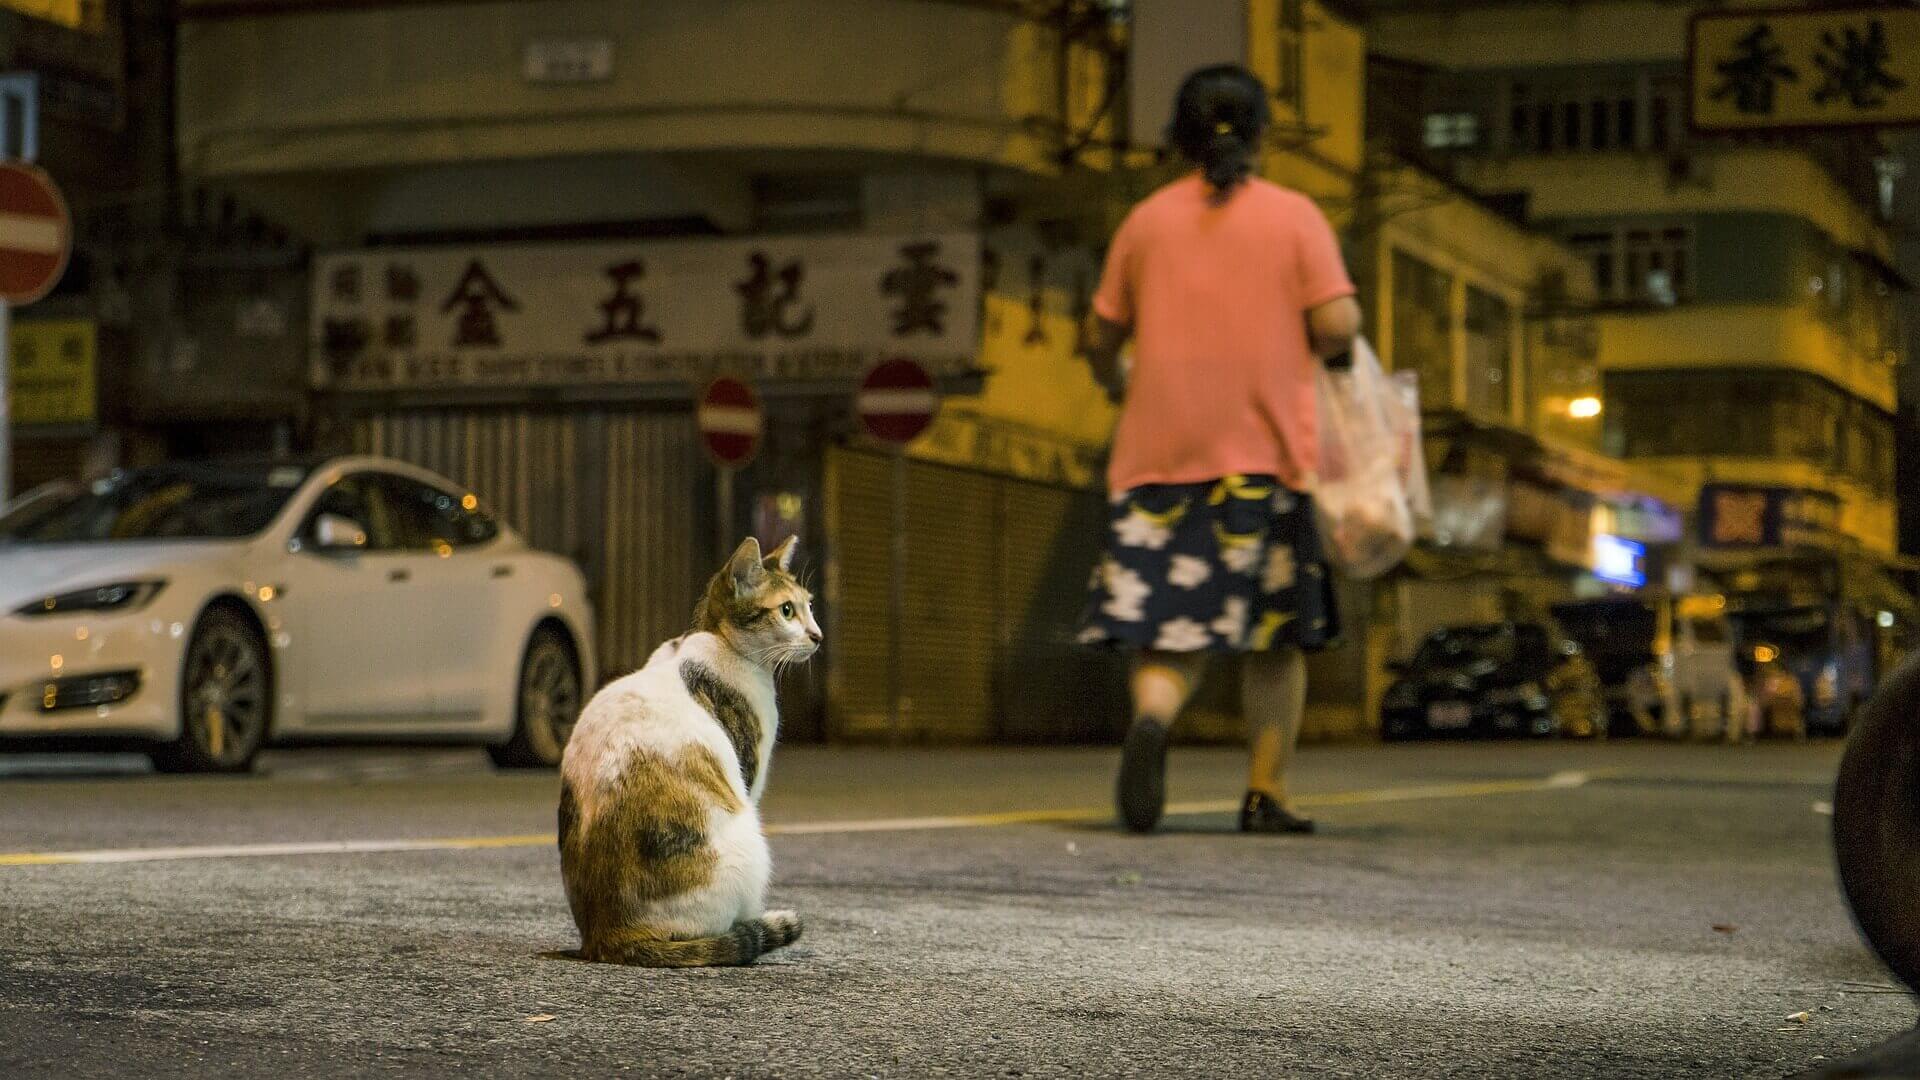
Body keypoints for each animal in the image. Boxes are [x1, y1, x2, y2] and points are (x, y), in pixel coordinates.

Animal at [560, 534, 821, 960]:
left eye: (809, 605)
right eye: (786, 610)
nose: (818, 636)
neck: (716, 640)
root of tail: (608, 933)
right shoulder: (749, 774)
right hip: (750, 841)